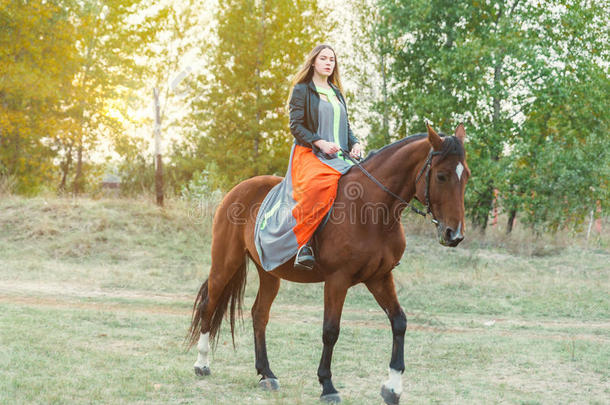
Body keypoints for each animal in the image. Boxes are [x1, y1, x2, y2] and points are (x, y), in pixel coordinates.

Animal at [188, 124, 468, 404]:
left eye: (465, 176)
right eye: (441, 176)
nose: (454, 235)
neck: (369, 208)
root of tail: (239, 189)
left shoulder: (380, 277)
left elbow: (399, 322)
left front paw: (393, 388)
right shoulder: (337, 280)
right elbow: (331, 330)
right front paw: (327, 385)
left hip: (269, 273)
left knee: (259, 314)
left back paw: (266, 373)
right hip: (226, 262)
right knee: (208, 304)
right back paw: (202, 364)